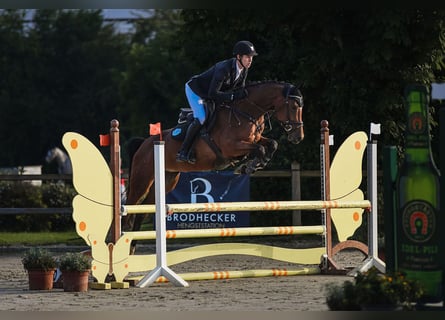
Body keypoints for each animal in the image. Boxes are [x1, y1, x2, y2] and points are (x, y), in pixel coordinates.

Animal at [122, 80, 302, 252]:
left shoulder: (254, 140)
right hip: (142, 181)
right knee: (130, 208)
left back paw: (132, 246)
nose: (298, 137)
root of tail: (144, 144)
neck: (247, 113)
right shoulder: (231, 147)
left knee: (143, 211)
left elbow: (271, 144)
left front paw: (253, 165)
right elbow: (260, 148)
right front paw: (248, 166)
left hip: (167, 180)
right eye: (293, 107)